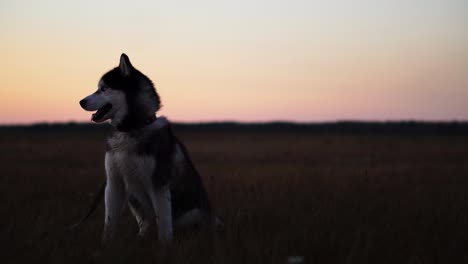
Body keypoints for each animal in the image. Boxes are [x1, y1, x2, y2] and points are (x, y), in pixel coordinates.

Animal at [79, 53, 218, 243]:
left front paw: (164, 248)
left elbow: (164, 226)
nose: (81, 101)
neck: (132, 129)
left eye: (104, 88)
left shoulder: (158, 184)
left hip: (195, 213)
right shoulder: (114, 183)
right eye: (98, 88)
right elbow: (109, 223)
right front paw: (105, 245)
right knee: (146, 223)